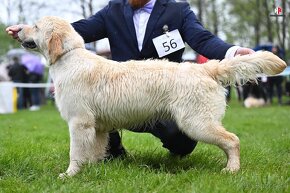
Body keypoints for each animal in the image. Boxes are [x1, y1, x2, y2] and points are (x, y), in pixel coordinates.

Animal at [17, 16, 286, 178]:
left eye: (36, 27)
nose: (17, 30)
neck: (70, 58)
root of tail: (205, 68)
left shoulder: (78, 122)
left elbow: (75, 152)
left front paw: (70, 174)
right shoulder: (97, 127)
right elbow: (94, 151)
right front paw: (92, 171)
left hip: (196, 123)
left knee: (232, 140)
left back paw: (232, 169)